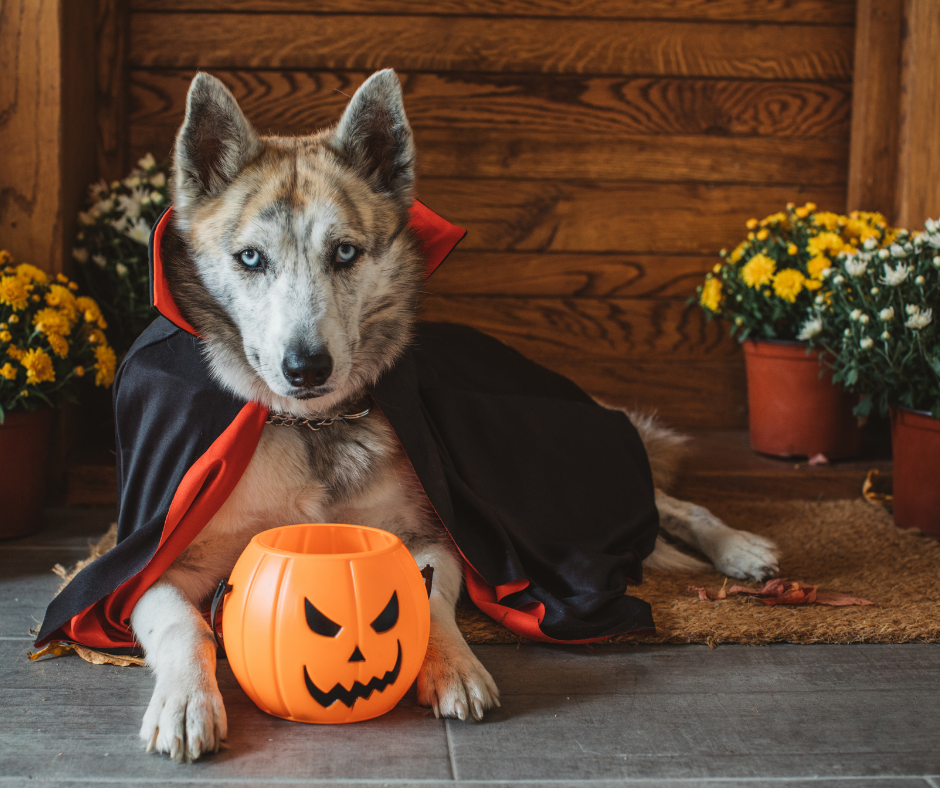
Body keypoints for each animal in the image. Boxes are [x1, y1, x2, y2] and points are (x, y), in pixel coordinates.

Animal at [132, 71, 780, 760]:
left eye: (345, 253)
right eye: (251, 258)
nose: (307, 368)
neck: (312, 427)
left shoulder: (433, 535)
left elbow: (427, 600)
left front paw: (454, 665)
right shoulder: (152, 566)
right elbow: (183, 625)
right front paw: (186, 701)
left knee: (666, 503)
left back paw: (739, 549)